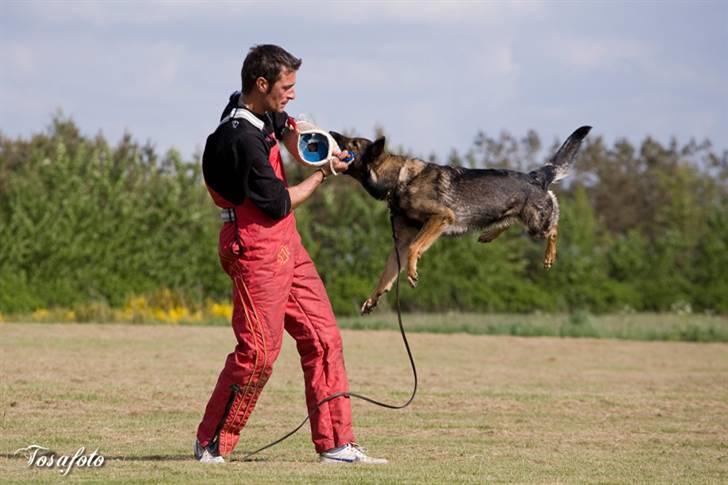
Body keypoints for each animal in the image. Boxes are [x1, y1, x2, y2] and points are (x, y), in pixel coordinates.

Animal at [330, 125, 592, 314]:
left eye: (354, 143)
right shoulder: (400, 244)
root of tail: (536, 177)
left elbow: (415, 247)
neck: (398, 179)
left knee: (554, 229)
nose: (331, 133)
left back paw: (549, 257)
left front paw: (412, 272)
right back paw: (488, 234)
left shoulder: (441, 217)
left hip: (536, 223)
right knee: (509, 221)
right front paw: (372, 298)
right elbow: (386, 275)